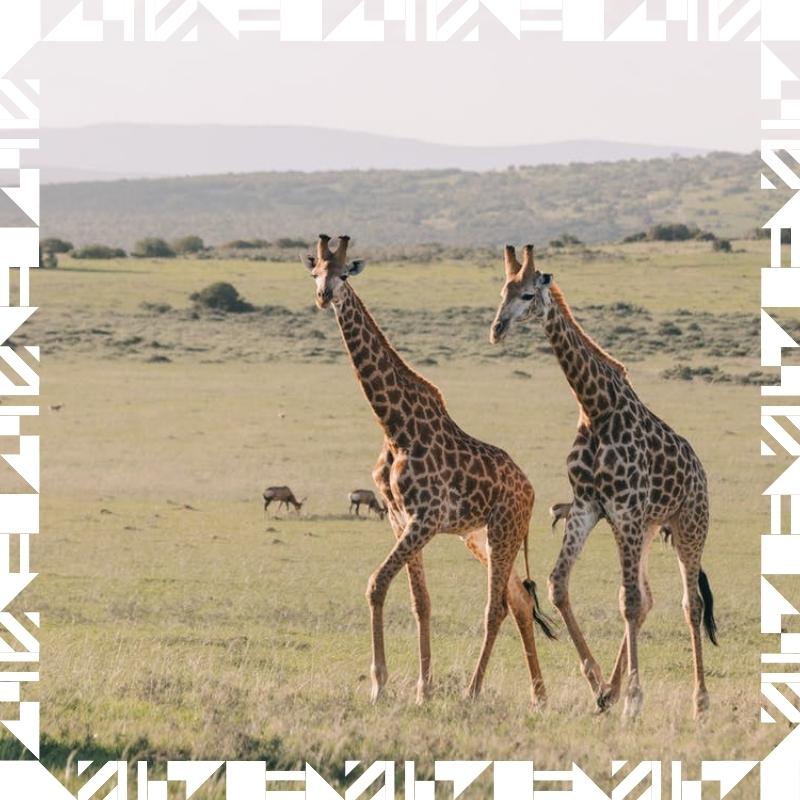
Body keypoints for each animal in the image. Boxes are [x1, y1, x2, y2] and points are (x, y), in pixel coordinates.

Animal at [303, 234, 555, 707]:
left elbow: (376, 584)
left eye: (344, 273)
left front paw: (380, 685)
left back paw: (475, 692)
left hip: (504, 529)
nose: (324, 296)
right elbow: (421, 601)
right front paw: (422, 687)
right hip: (481, 537)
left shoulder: (426, 516)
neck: (394, 426)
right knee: (518, 599)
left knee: (497, 605)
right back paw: (539, 695)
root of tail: (532, 490)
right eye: (314, 272)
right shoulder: (399, 517)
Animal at [489, 244, 717, 719]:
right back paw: (613, 688)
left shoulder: (624, 509)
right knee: (646, 598)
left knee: (689, 604)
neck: (595, 407)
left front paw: (633, 699)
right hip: (646, 528)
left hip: (689, 526)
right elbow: (559, 585)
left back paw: (700, 701)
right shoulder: (588, 505)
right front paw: (597, 684)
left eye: (526, 295)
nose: (497, 330)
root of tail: (700, 473)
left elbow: (628, 602)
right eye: (502, 291)